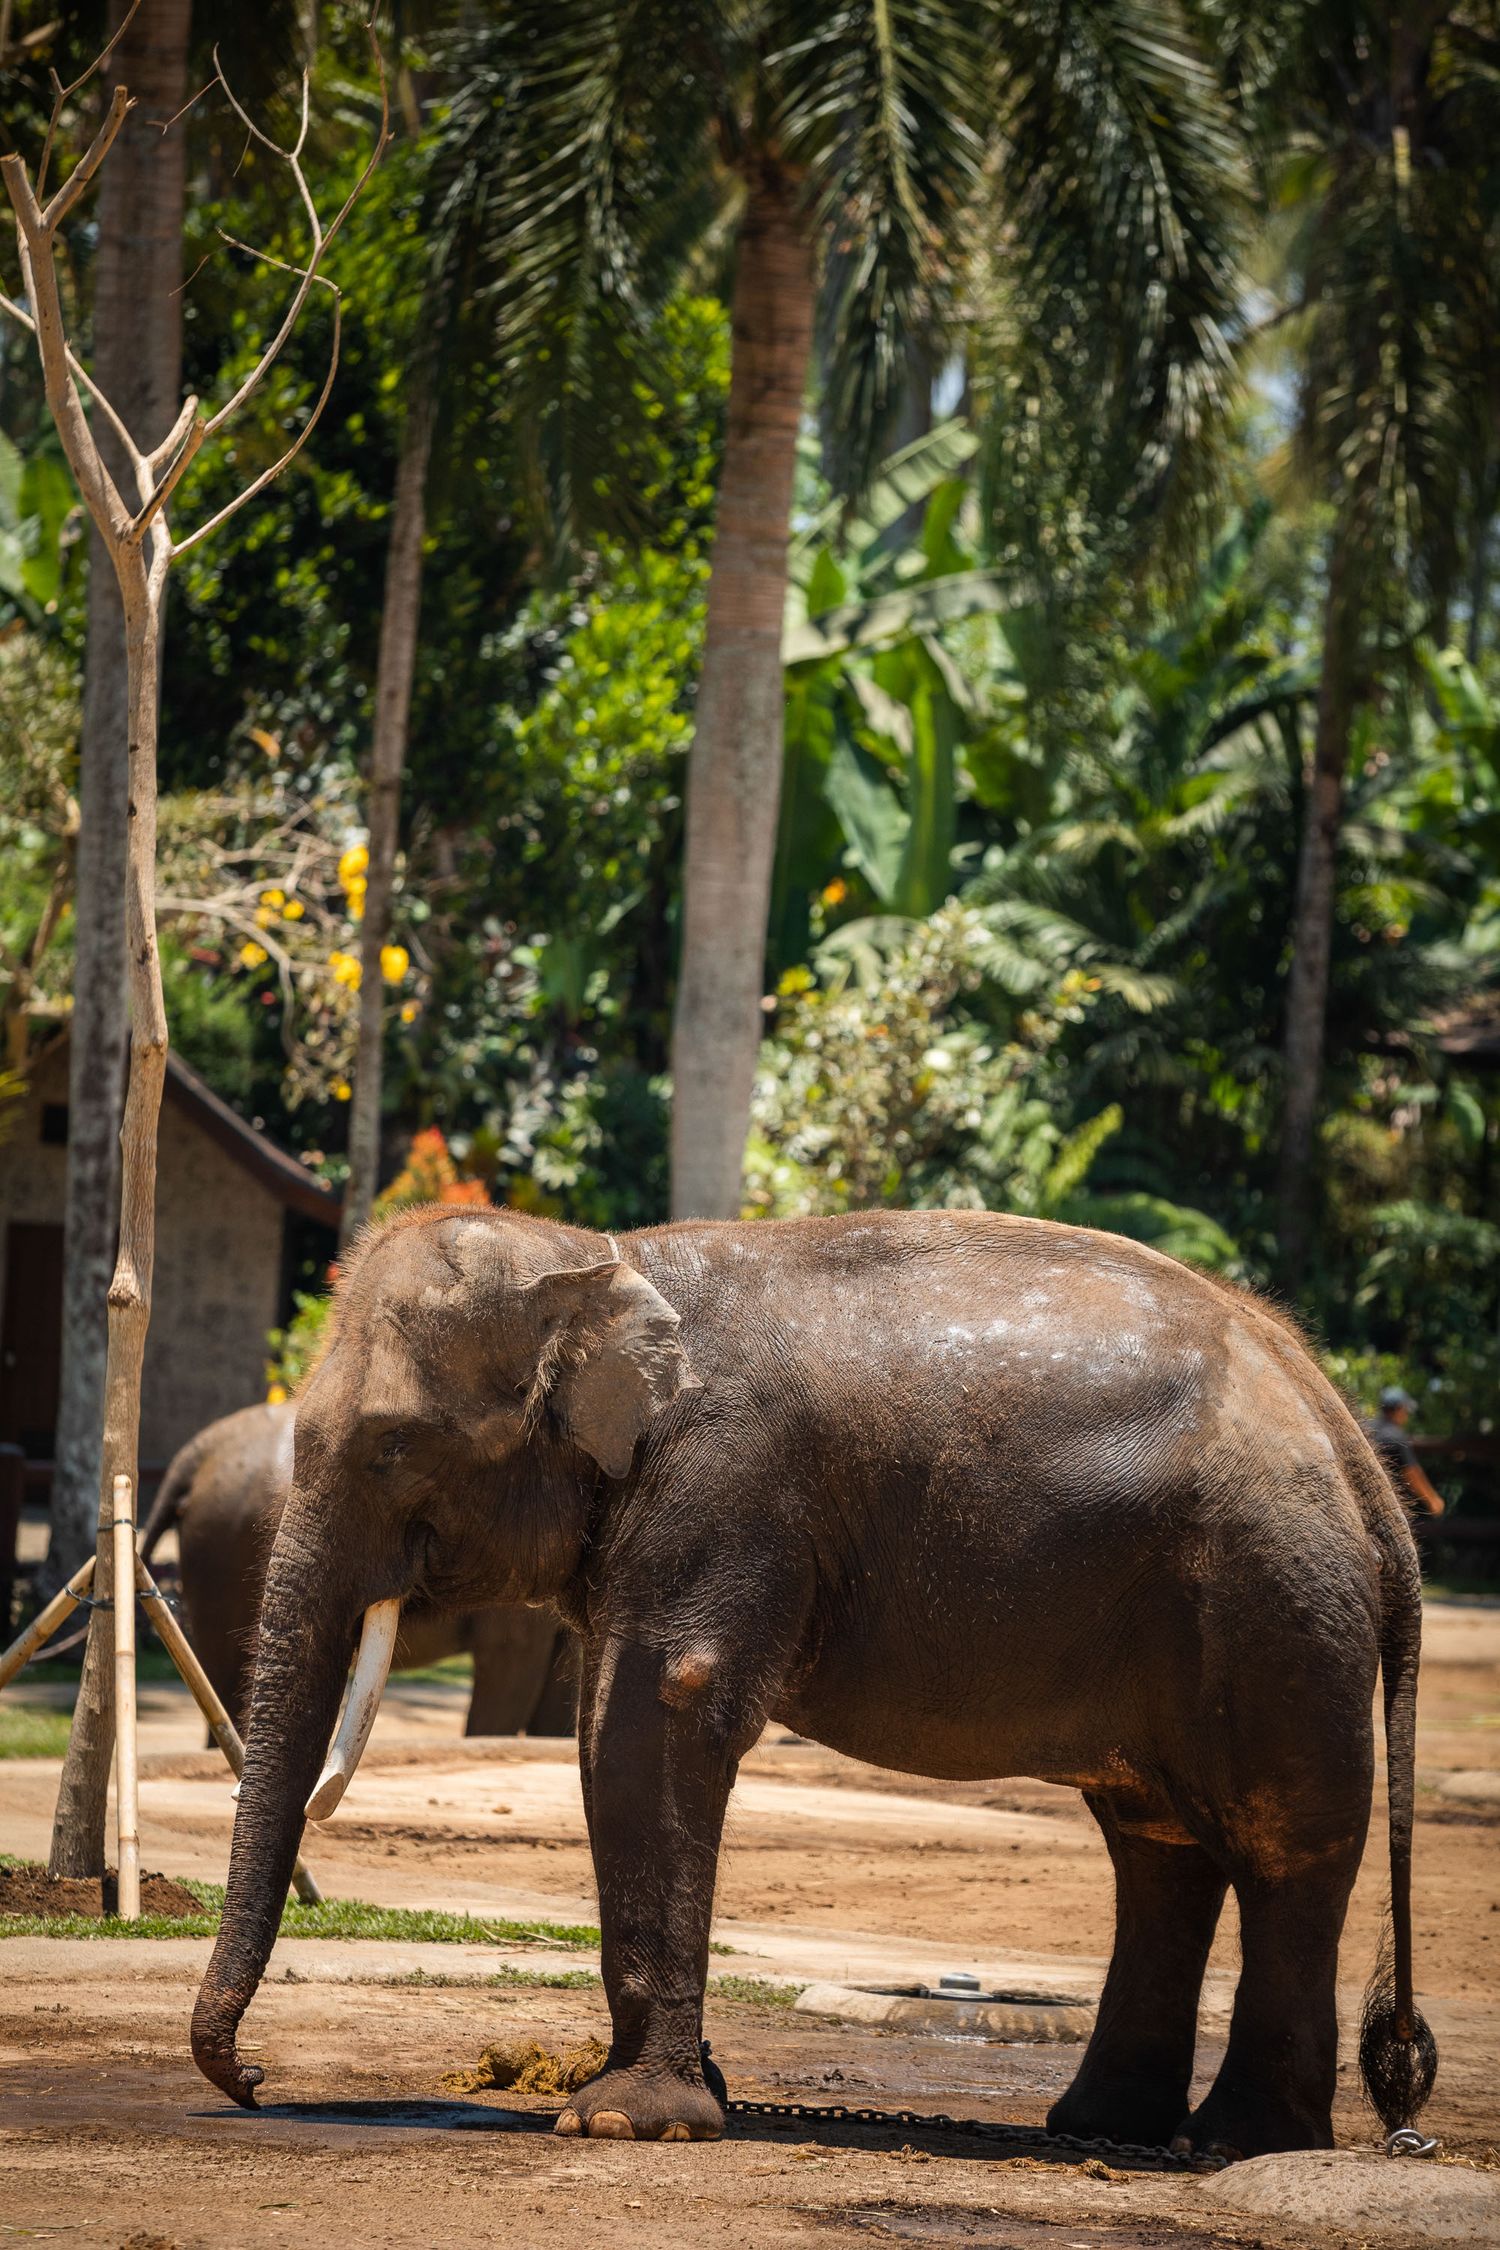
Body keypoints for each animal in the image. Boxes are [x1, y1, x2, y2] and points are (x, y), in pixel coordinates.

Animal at [190, 1205, 1436, 2162]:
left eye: (391, 1445)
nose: (255, 2079)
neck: (598, 1257)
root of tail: (1351, 1442)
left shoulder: (720, 1486)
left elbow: (649, 1722)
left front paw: (627, 2125)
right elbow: (618, 1731)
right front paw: (672, 2102)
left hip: (1271, 1606)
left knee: (1282, 1844)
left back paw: (1240, 2145)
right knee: (1158, 1845)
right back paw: (1100, 2129)